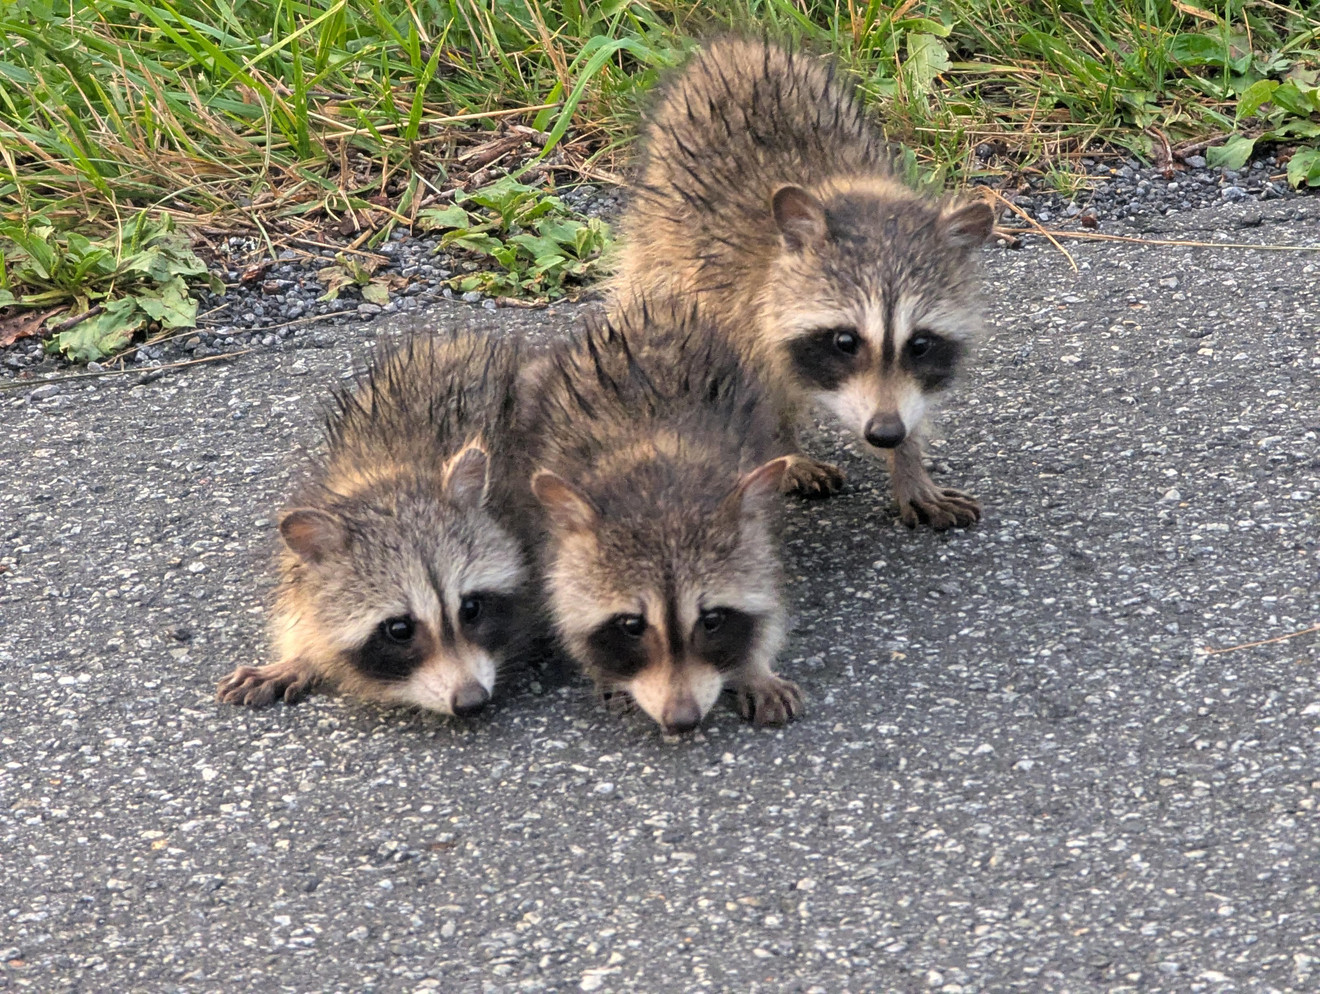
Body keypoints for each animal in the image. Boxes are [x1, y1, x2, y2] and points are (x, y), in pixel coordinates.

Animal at [521, 299, 800, 734]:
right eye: (631, 626)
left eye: (712, 620)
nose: (682, 721)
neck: (660, 477)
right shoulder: (553, 539)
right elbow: (562, 601)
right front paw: (606, 671)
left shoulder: (759, 525)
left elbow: (770, 595)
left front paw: (754, 666)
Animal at [614, 36, 996, 530]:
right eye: (845, 341)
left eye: (920, 344)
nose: (885, 433)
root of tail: (735, 46)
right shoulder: (734, 307)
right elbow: (756, 400)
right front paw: (786, 455)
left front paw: (910, 466)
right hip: (660, 235)